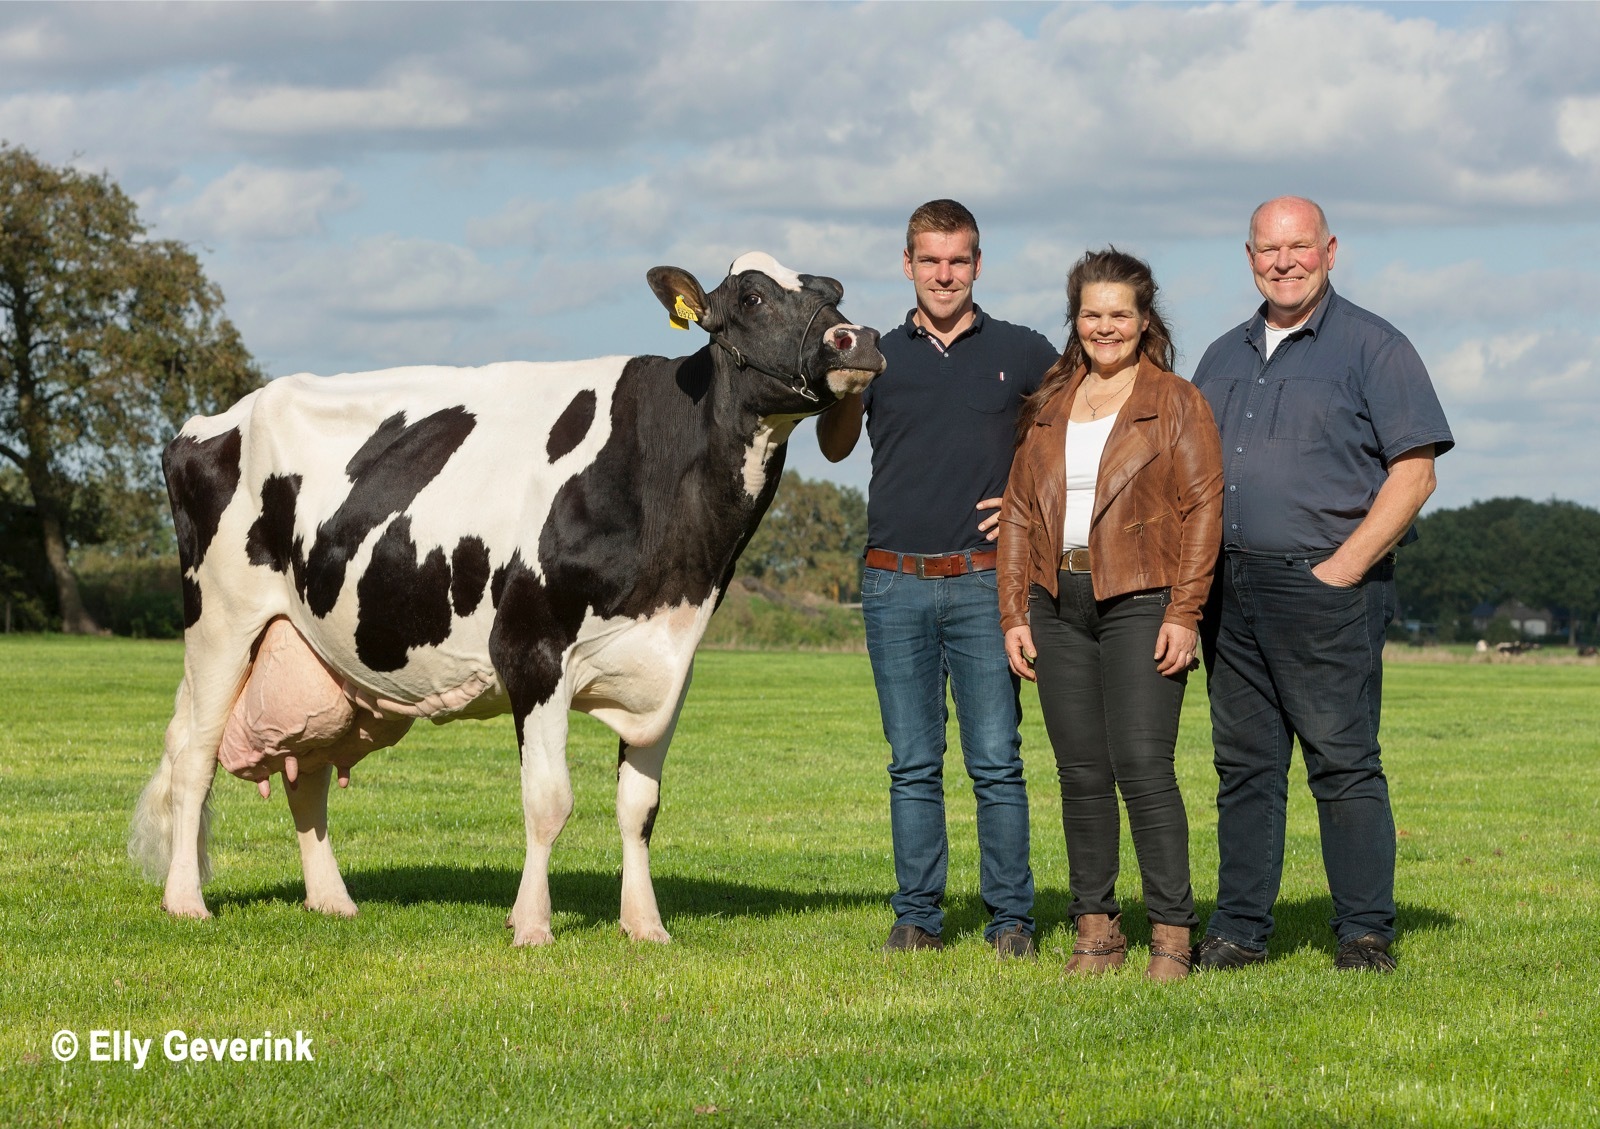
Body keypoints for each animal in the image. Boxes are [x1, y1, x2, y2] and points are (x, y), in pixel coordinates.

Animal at [134, 252, 889, 940]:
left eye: (832, 289)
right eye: (754, 296)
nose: (858, 338)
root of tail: (210, 421)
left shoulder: (670, 662)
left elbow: (639, 807)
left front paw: (645, 925)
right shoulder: (531, 649)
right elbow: (548, 800)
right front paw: (531, 924)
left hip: (311, 645)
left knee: (305, 773)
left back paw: (331, 900)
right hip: (222, 621)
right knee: (194, 755)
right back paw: (186, 901)